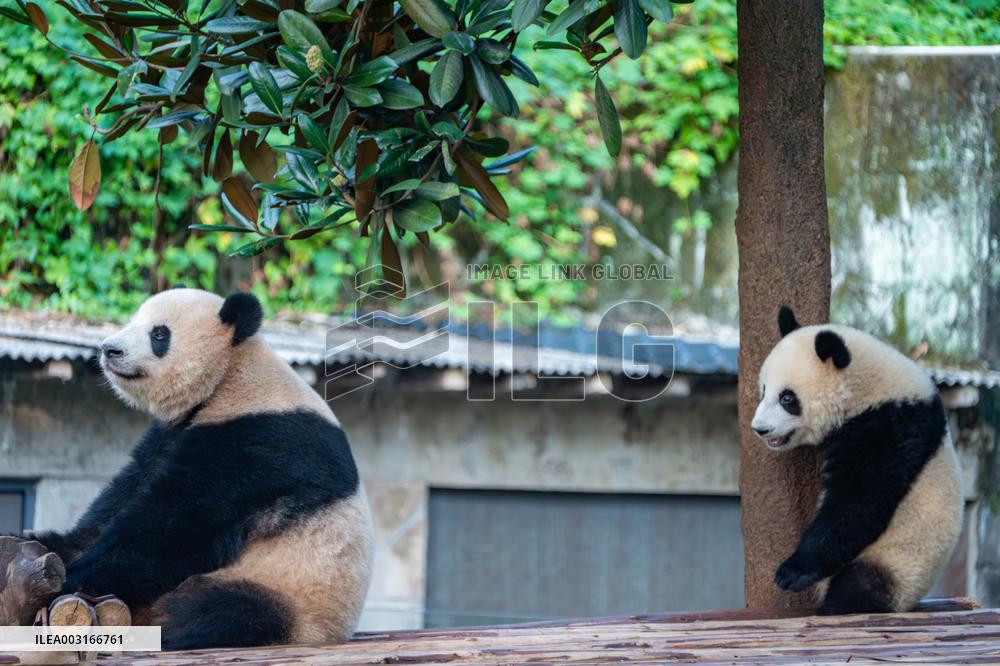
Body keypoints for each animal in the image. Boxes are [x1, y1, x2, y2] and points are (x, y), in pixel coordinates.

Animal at [30, 288, 374, 649]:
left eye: (159, 334)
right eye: (132, 321)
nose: (110, 349)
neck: (230, 375)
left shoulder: (259, 441)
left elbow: (176, 528)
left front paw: (74, 575)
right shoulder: (170, 433)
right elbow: (122, 497)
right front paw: (46, 544)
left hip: (297, 594)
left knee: (224, 609)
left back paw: (169, 625)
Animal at [751, 306, 963, 615]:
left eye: (787, 398)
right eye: (764, 390)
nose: (760, 429)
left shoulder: (887, 430)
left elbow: (857, 503)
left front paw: (791, 572)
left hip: (900, 562)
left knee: (860, 586)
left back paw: (836, 604)